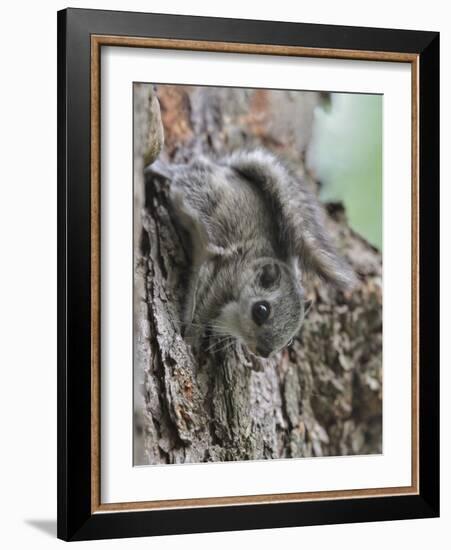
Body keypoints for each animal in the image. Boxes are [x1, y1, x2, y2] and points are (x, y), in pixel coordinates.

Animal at [147, 149, 358, 360]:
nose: (264, 353)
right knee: (182, 174)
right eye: (261, 310)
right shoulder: (221, 276)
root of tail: (222, 168)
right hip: (199, 192)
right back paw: (162, 169)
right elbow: (200, 307)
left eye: (291, 338)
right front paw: (190, 338)